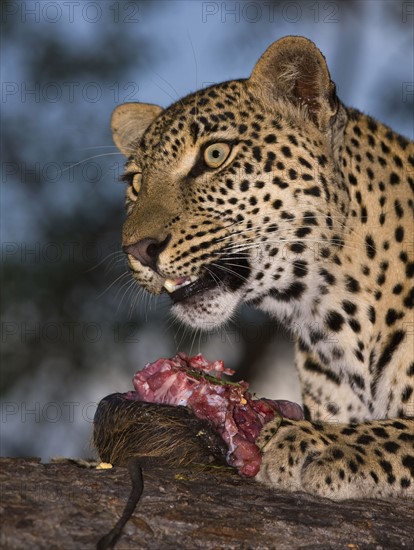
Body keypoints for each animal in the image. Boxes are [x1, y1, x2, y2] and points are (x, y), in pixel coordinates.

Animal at [111, 33, 414, 500]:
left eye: (215, 155)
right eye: (136, 183)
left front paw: (314, 442)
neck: (332, 314)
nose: (138, 248)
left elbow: (399, 430)